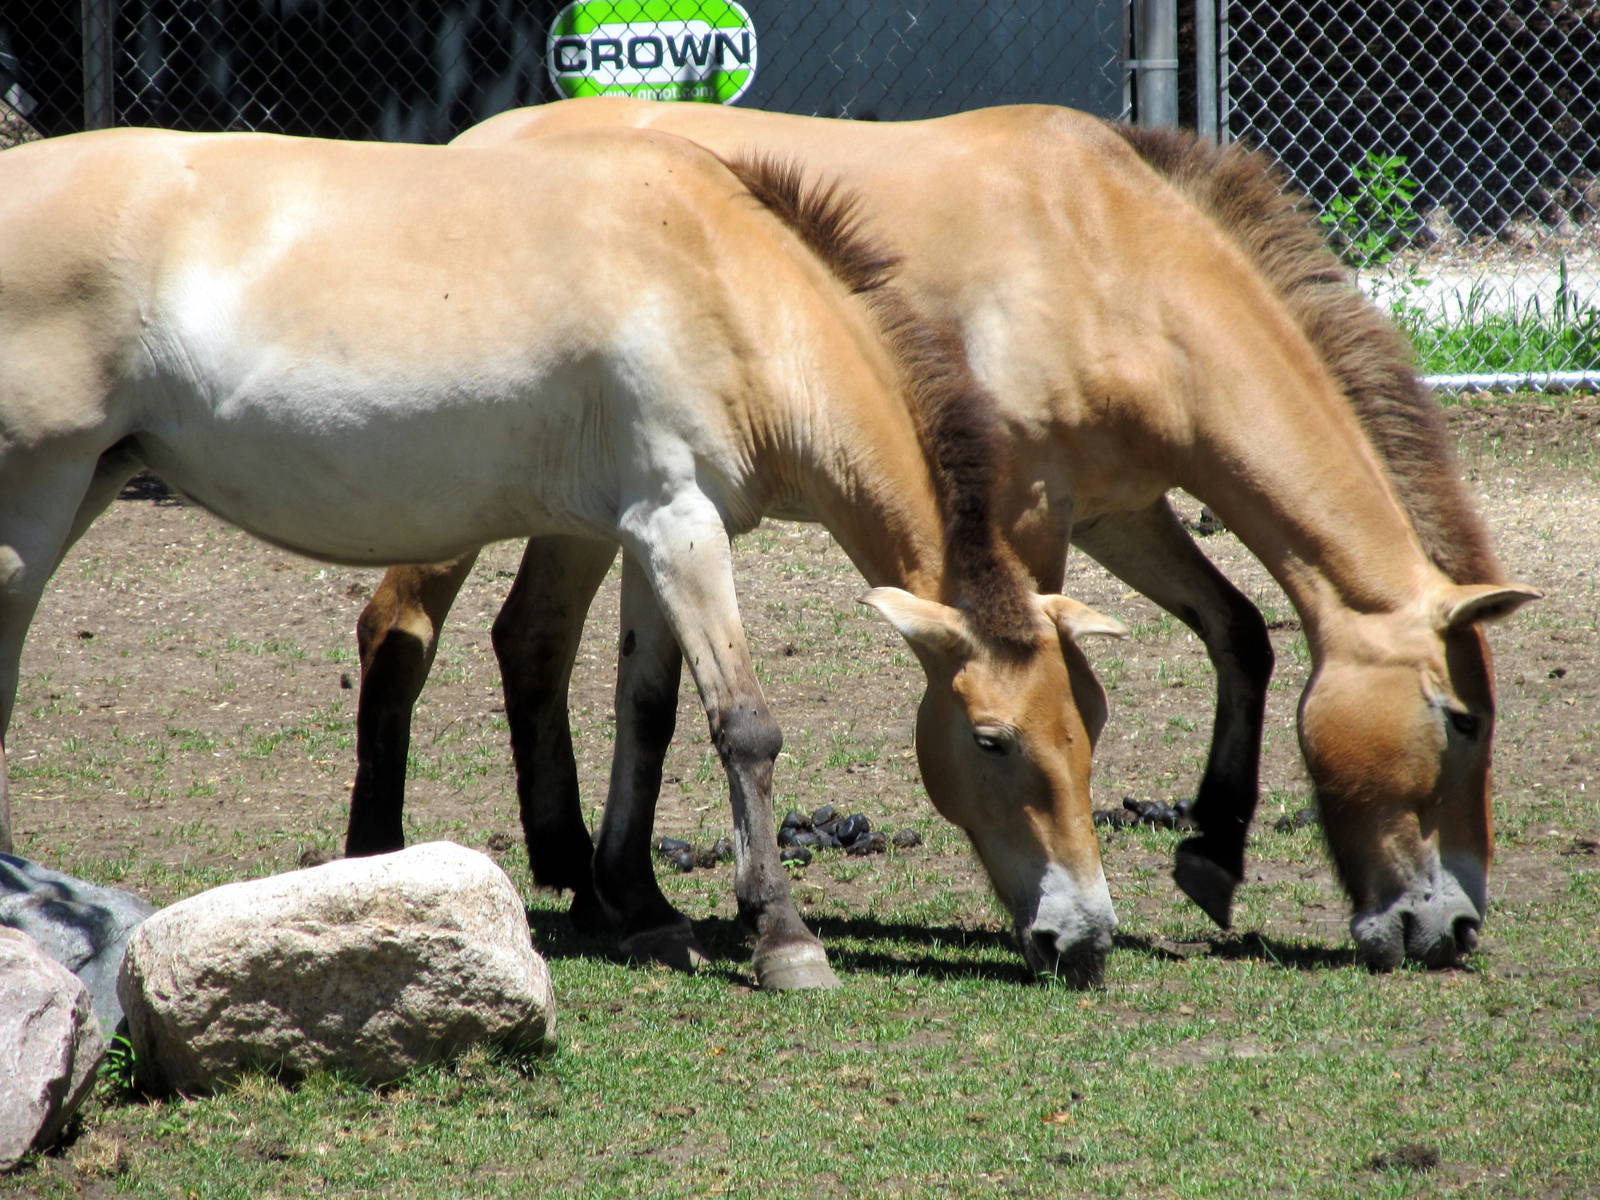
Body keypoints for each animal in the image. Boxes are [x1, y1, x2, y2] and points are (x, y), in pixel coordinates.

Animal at [0, 124, 1134, 990]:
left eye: (1085, 729)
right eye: (991, 740)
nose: (1084, 939)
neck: (721, 279)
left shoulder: (643, 529)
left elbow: (649, 710)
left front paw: (635, 900)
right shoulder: (681, 525)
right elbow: (744, 727)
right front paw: (783, 938)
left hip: (91, 481)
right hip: (36, 503)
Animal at [350, 100, 1538, 972]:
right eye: (1461, 721)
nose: (1453, 927)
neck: (1107, 254)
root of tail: (474, 145)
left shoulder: (1121, 509)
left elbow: (1239, 632)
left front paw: (1210, 852)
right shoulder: (1030, 517)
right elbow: (1065, 683)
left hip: (593, 511)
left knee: (534, 641)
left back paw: (591, 880)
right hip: (455, 494)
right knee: (399, 630)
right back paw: (383, 862)